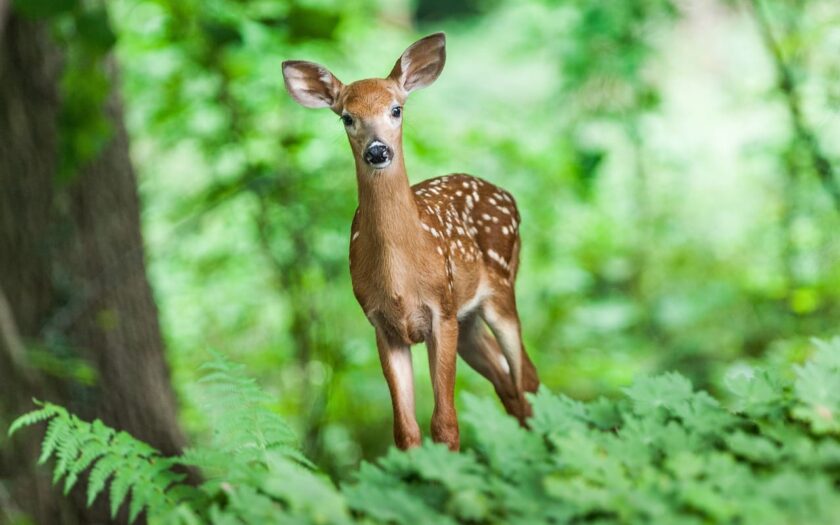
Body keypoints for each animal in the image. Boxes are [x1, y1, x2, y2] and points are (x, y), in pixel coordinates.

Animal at [282, 33, 540, 450]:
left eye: (396, 109)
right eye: (346, 117)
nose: (377, 150)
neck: (400, 278)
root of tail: (508, 196)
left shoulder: (441, 311)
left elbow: (445, 423)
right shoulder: (382, 325)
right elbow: (405, 430)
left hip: (500, 289)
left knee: (526, 377)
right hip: (468, 321)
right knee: (508, 384)